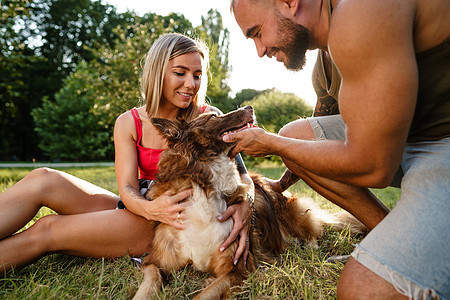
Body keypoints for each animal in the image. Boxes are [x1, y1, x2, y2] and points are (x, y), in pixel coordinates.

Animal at [131, 106, 366, 300]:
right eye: (213, 117)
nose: (250, 106)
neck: (204, 185)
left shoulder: (236, 269)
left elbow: (203, 296)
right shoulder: (154, 262)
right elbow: (149, 283)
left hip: (292, 213)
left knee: (312, 231)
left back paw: (310, 247)